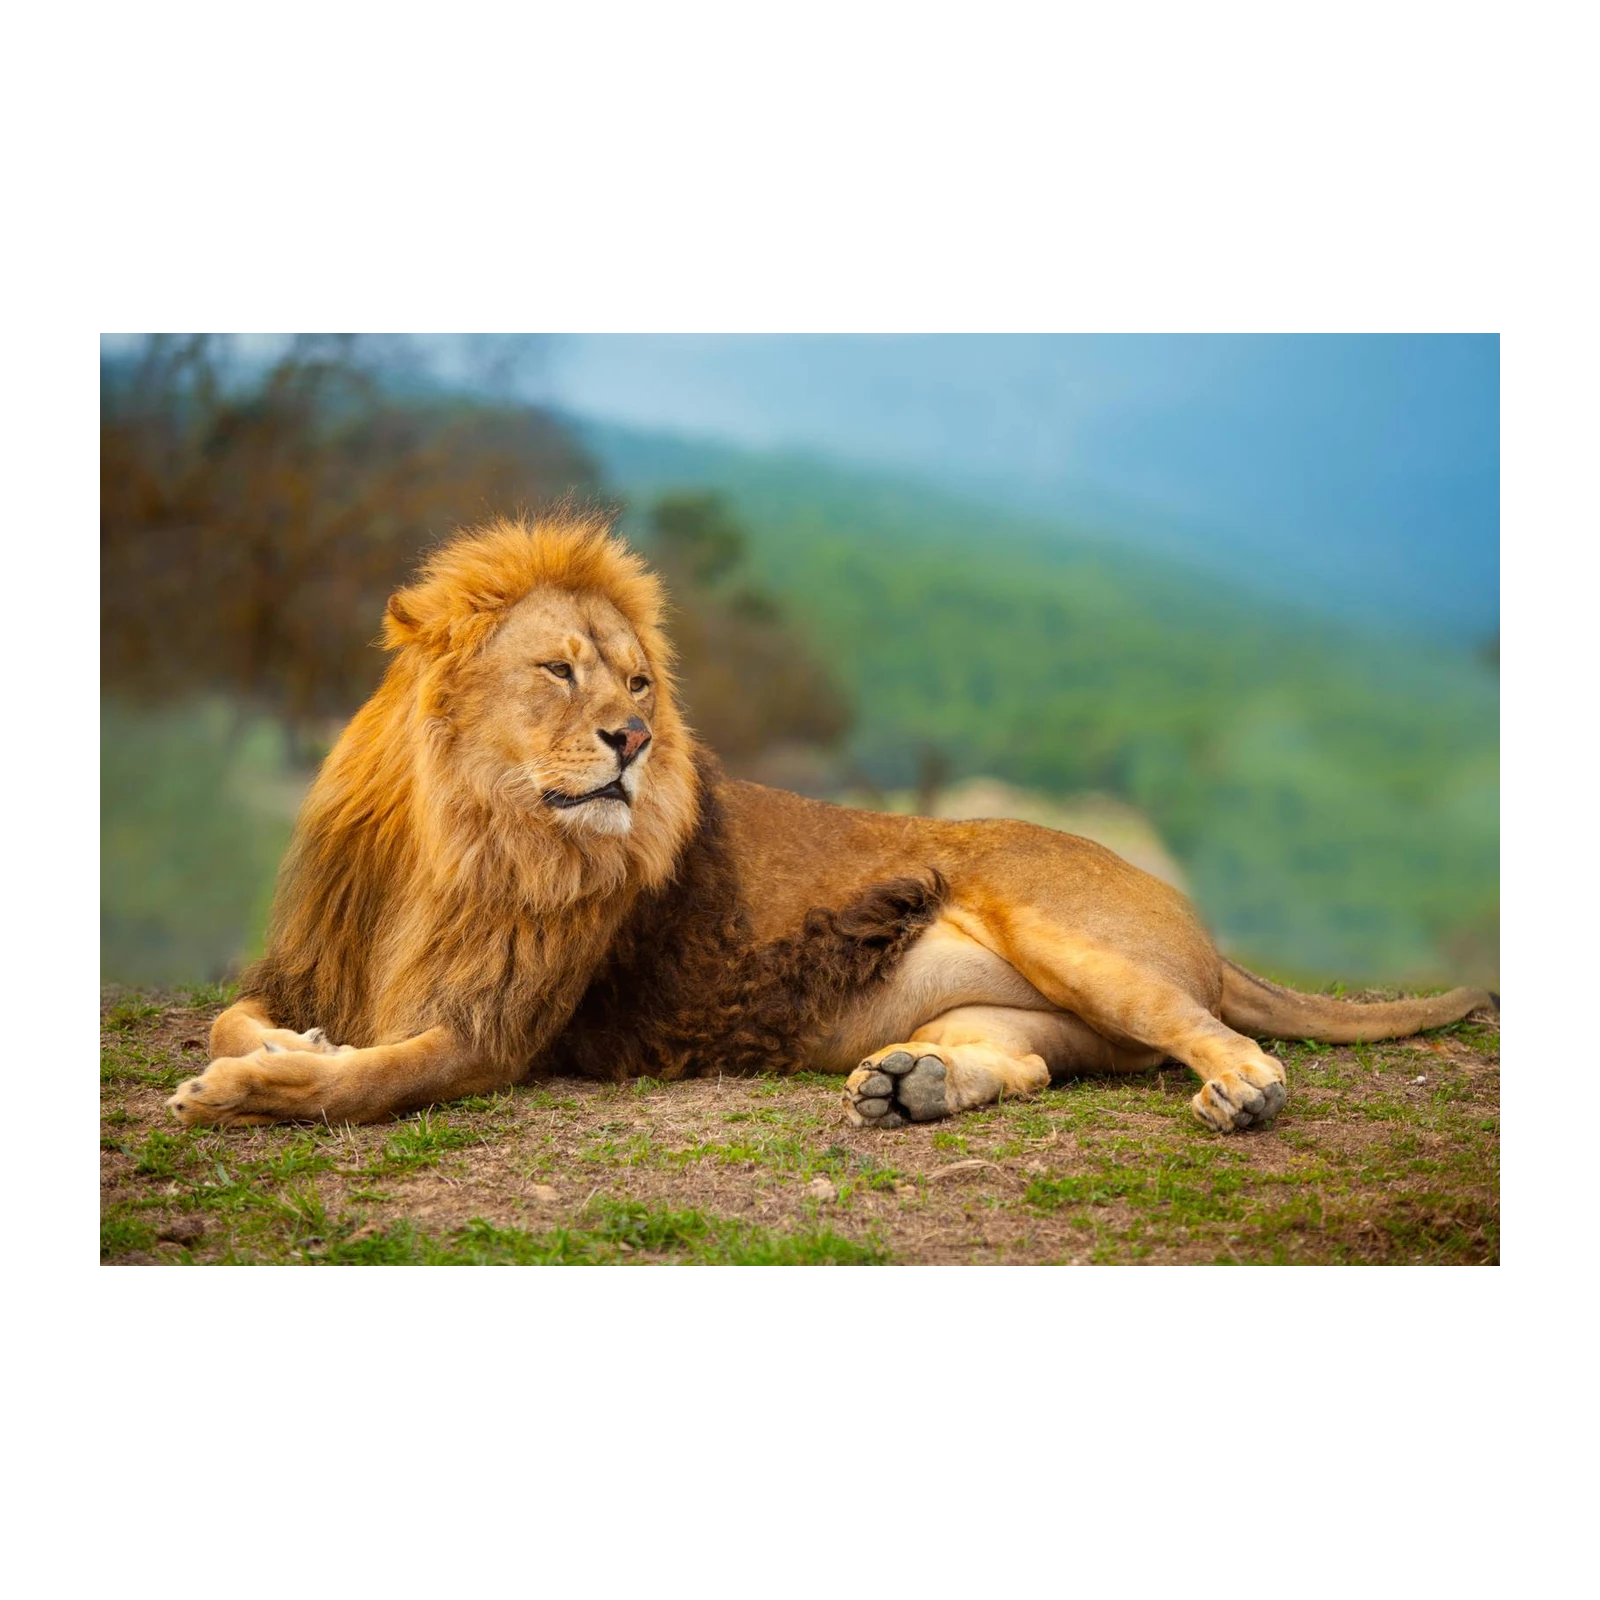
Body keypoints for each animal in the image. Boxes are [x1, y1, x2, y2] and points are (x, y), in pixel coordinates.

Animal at [168, 511, 1499, 1136]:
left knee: (1214, 1032)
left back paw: (1241, 1095)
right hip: (1030, 1010)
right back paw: (910, 1087)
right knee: (1031, 1057)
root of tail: (1198, 921)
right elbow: (243, 1016)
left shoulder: (499, 1033)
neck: (461, 832)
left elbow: (362, 1083)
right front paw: (287, 1044)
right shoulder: (314, 960)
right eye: (557, 670)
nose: (632, 740)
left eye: (637, 681)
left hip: (1062, 928)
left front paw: (250, 1089)